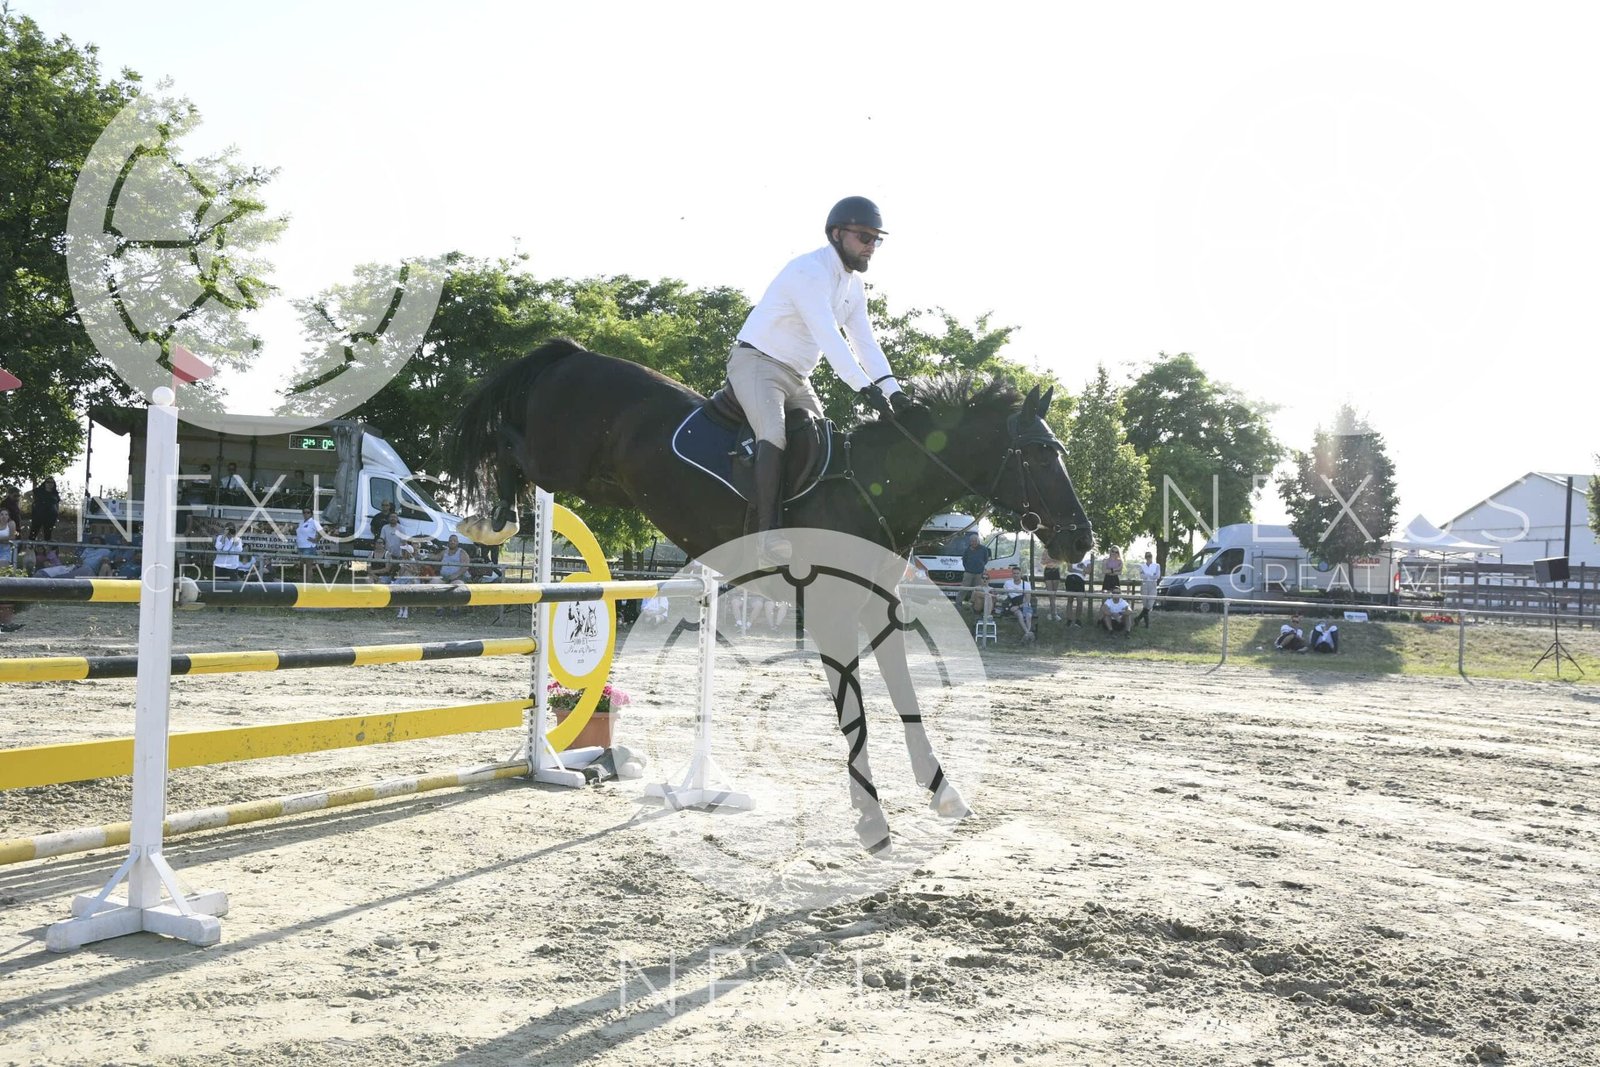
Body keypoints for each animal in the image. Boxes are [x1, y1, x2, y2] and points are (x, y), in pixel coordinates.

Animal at [445, 338, 1093, 851]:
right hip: (564, 464)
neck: (875, 489)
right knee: (507, 443)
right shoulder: (833, 617)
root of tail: (576, 355)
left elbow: (905, 698)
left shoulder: (878, 611)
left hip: (599, 480)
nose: (1080, 540)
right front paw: (872, 822)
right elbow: (855, 716)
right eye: (1039, 455)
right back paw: (491, 519)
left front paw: (943, 792)